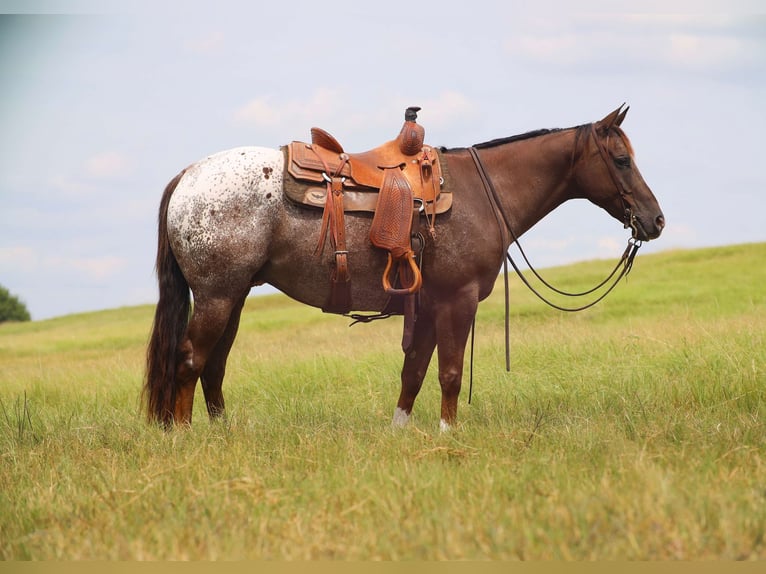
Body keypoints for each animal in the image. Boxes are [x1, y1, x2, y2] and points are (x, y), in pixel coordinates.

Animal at [144, 103, 664, 430]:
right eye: (621, 159)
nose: (655, 219)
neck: (483, 192)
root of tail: (187, 176)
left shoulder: (428, 304)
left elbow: (413, 371)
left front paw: (400, 431)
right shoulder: (458, 299)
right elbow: (450, 372)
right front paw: (449, 434)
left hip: (233, 297)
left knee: (214, 366)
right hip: (218, 296)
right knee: (190, 360)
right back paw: (186, 436)